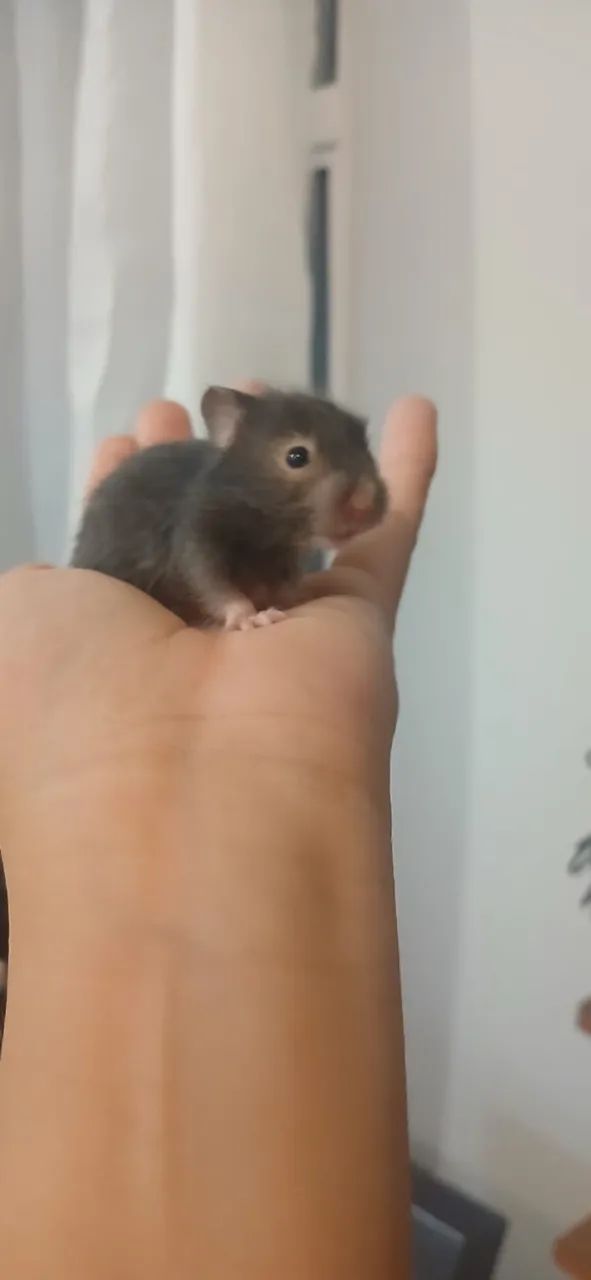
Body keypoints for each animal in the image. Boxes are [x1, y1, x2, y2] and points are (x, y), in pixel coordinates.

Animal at [70, 386, 388, 630]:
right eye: (297, 456)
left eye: (364, 442)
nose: (365, 502)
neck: (267, 529)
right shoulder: (196, 534)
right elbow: (210, 579)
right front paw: (250, 617)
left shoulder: (284, 555)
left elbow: (285, 583)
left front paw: (297, 597)